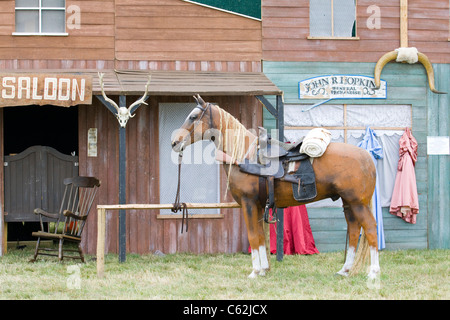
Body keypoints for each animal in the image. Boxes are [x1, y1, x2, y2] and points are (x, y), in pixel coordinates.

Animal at [171, 95, 382, 280]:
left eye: (193, 116)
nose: (175, 142)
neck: (244, 155)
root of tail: (366, 156)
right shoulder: (257, 206)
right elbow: (260, 238)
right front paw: (263, 269)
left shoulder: (248, 204)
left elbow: (253, 237)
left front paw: (255, 272)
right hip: (349, 203)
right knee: (354, 231)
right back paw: (345, 270)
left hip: (358, 203)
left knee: (370, 229)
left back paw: (373, 273)